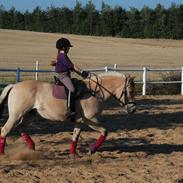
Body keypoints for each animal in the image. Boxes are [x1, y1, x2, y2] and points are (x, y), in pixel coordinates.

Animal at [0, 71, 136, 157]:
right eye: (130, 91)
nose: (133, 109)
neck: (96, 91)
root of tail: (14, 86)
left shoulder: (80, 121)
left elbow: (75, 136)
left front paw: (73, 154)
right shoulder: (91, 119)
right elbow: (104, 132)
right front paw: (91, 150)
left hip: (30, 114)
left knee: (21, 127)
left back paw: (32, 147)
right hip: (16, 115)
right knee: (5, 130)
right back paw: (3, 154)